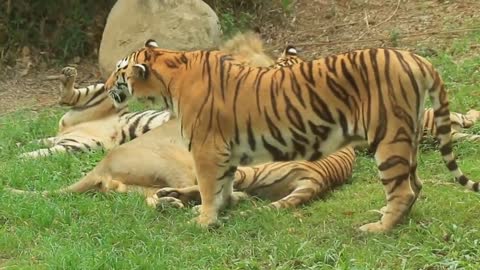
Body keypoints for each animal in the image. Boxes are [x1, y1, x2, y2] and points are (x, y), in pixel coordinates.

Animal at [104, 38, 480, 232]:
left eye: (118, 71)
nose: (106, 86)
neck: (170, 72)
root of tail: (416, 59)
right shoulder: (225, 150)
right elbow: (222, 186)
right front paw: (221, 211)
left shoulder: (207, 148)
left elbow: (210, 187)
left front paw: (203, 221)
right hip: (407, 136)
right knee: (416, 184)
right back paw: (390, 219)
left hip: (388, 139)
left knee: (403, 189)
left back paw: (377, 229)